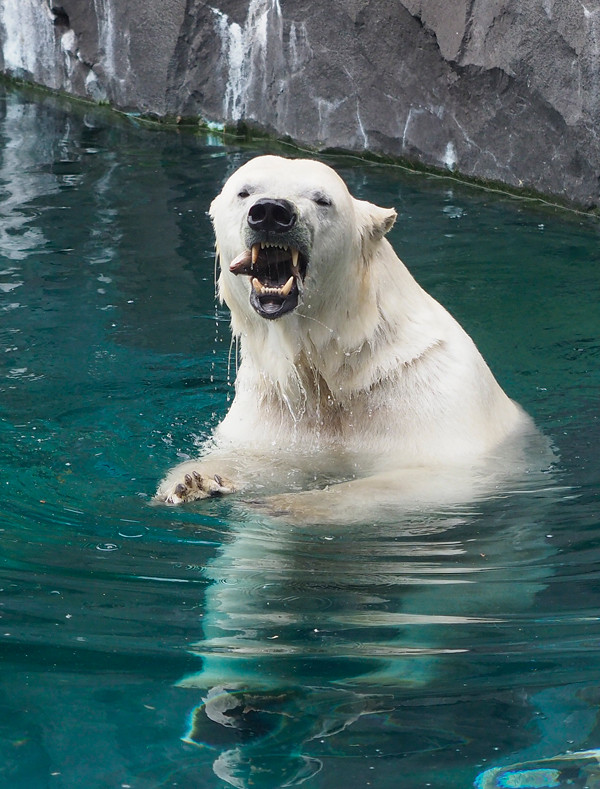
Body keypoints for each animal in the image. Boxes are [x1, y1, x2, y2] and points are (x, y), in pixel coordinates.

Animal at [155, 156, 544, 520]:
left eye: (322, 199)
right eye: (244, 191)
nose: (270, 213)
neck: (341, 362)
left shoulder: (429, 393)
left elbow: (434, 478)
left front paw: (285, 504)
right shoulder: (274, 403)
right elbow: (258, 456)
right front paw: (192, 482)